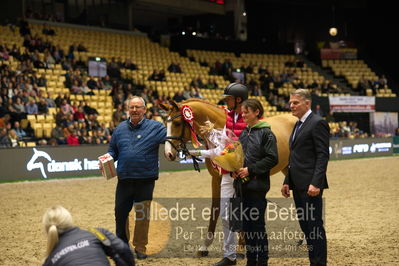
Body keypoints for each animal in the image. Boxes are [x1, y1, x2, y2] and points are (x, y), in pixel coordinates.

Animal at [162, 98, 296, 256]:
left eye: (177, 123)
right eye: (165, 123)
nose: (168, 154)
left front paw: (241, 246)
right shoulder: (216, 178)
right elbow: (215, 209)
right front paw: (205, 247)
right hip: (285, 169)